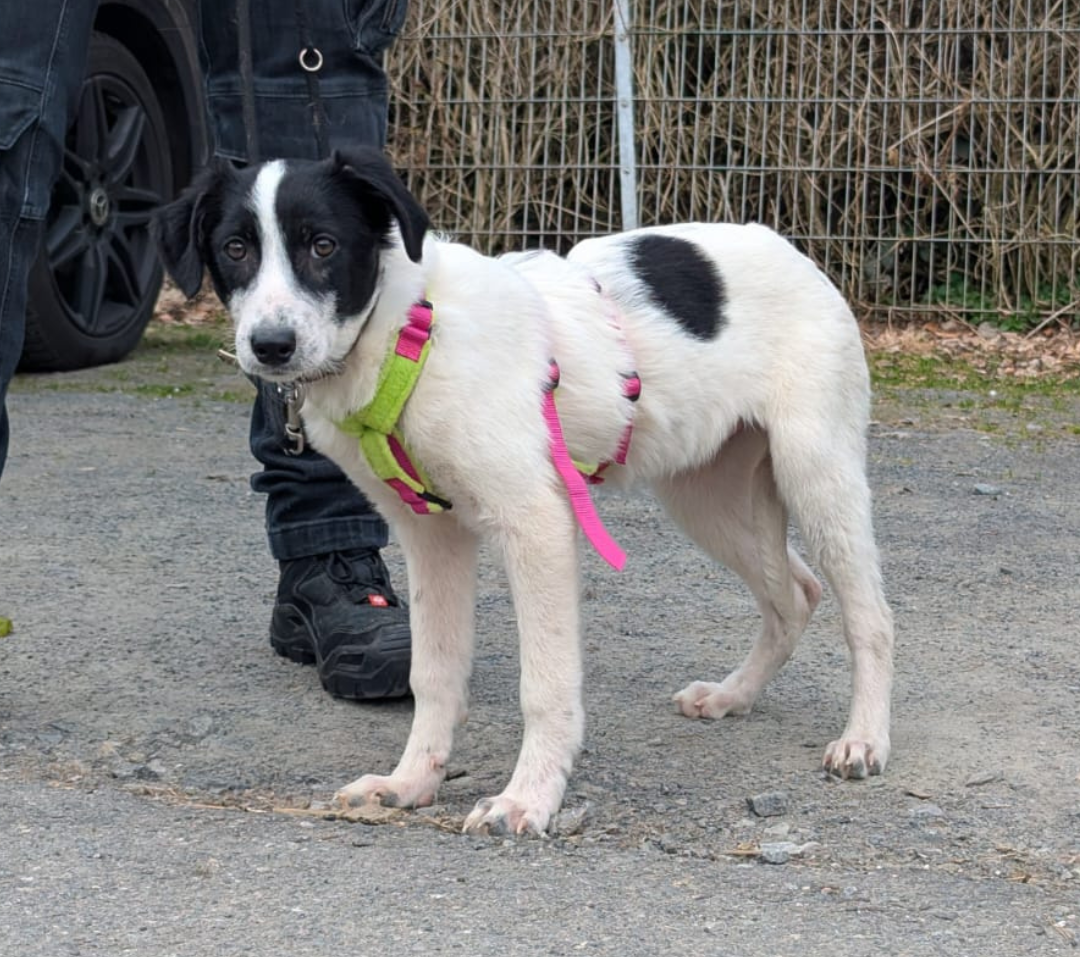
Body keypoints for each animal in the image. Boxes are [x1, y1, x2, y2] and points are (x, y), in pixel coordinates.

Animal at [154, 145, 894, 836]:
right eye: (236, 248)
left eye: (324, 245)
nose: (270, 345)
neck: (407, 337)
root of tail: (788, 248)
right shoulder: (432, 536)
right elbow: (433, 672)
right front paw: (410, 781)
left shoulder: (535, 523)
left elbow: (543, 684)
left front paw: (529, 797)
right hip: (705, 496)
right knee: (795, 593)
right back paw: (733, 695)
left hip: (815, 470)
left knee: (868, 615)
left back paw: (863, 738)